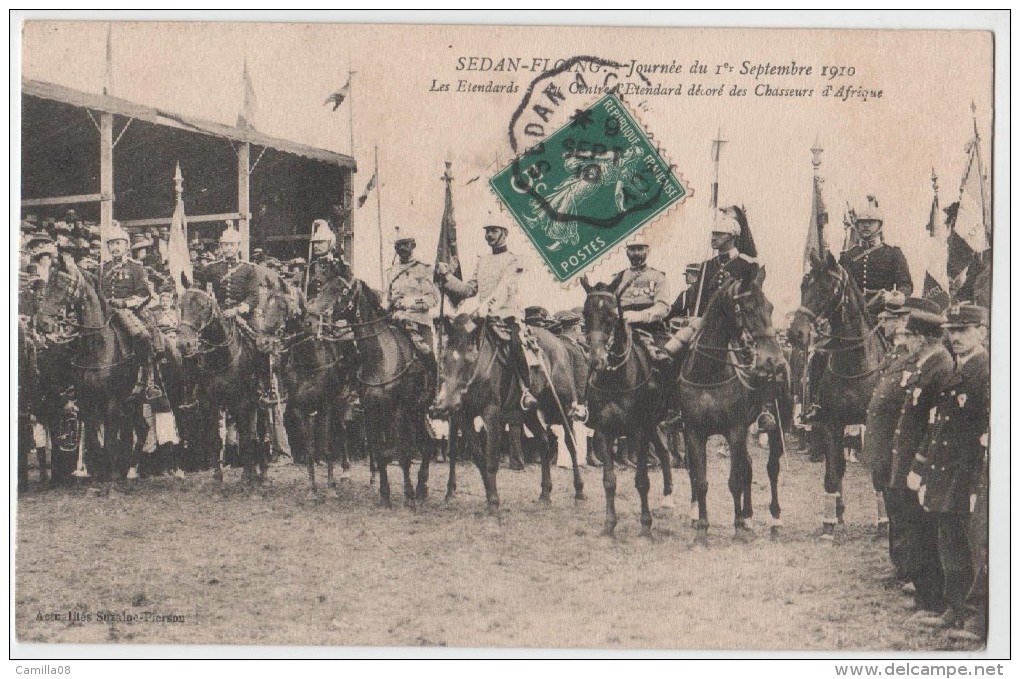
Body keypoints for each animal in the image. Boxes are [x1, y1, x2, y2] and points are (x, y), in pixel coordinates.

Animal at [34, 265, 151, 487]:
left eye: (60, 286)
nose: (43, 324)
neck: (98, 347)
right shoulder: (87, 401)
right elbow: (94, 440)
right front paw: (97, 477)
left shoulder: (112, 402)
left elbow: (110, 439)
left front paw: (112, 477)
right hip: (129, 404)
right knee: (137, 428)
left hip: (135, 399)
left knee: (139, 430)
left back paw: (130, 471)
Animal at [179, 285, 267, 487]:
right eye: (180, 305)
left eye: (203, 307)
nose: (184, 344)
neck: (221, 357)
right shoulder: (209, 403)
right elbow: (214, 439)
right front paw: (217, 476)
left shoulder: (242, 402)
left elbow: (244, 438)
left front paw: (246, 475)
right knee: (252, 433)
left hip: (261, 405)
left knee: (260, 432)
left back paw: (263, 473)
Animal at [432, 311, 591, 507]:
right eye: (444, 358)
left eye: (469, 361)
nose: (445, 403)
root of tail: (560, 344)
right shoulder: (463, 416)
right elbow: (478, 456)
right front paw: (487, 493)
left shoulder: (491, 414)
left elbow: (491, 459)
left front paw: (493, 501)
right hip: (529, 413)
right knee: (544, 441)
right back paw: (545, 493)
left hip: (562, 405)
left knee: (570, 442)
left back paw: (579, 490)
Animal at [677, 263, 787, 534]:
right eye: (748, 308)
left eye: (770, 307)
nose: (775, 361)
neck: (708, 373)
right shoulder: (694, 432)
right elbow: (701, 479)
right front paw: (703, 523)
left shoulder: (734, 431)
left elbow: (735, 480)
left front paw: (736, 524)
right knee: (748, 465)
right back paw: (747, 515)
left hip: (776, 426)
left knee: (771, 468)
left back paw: (774, 517)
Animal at [787, 248, 885, 534]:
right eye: (804, 285)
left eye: (827, 287)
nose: (796, 334)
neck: (855, 363)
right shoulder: (832, 423)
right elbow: (832, 474)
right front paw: (828, 523)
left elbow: (878, 475)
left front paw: (884, 523)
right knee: (838, 466)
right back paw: (838, 511)